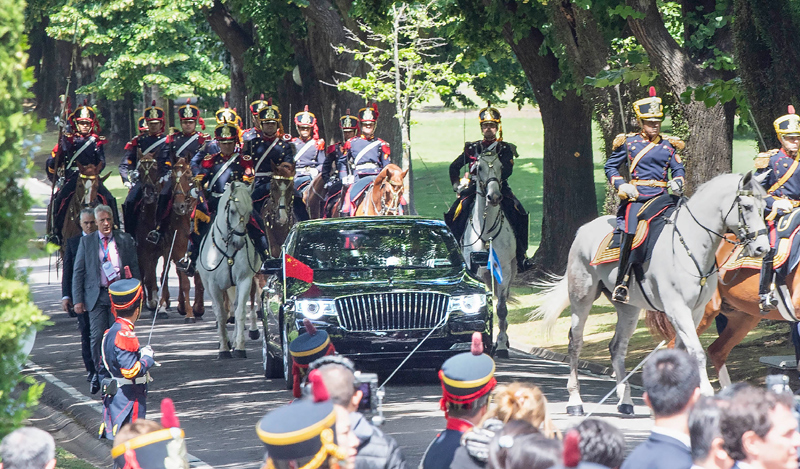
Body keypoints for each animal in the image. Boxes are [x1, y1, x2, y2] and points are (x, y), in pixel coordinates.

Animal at [157, 157, 205, 322]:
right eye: (172, 178)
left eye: (189, 176)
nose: (179, 206)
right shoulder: (177, 250)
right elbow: (185, 283)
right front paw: (190, 313)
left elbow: (198, 279)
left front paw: (198, 309)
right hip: (167, 249)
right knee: (166, 273)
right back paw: (164, 307)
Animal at [198, 181, 260, 356]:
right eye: (232, 210)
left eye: (250, 211)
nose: (239, 243)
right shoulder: (213, 285)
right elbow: (220, 314)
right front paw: (224, 349)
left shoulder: (245, 280)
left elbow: (240, 311)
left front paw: (239, 347)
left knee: (236, 305)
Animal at [460, 152, 516, 356]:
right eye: (479, 168)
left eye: (501, 166)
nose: (494, 197)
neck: (487, 233)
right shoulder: (477, 271)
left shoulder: (505, 270)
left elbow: (501, 308)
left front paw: (501, 344)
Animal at [532, 172, 768, 414]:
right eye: (747, 206)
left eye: (764, 207)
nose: (763, 248)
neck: (692, 244)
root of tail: (584, 229)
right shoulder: (677, 309)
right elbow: (697, 352)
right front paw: (704, 395)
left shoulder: (696, 311)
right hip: (582, 296)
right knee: (575, 342)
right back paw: (575, 401)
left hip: (628, 307)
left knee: (617, 347)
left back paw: (625, 400)